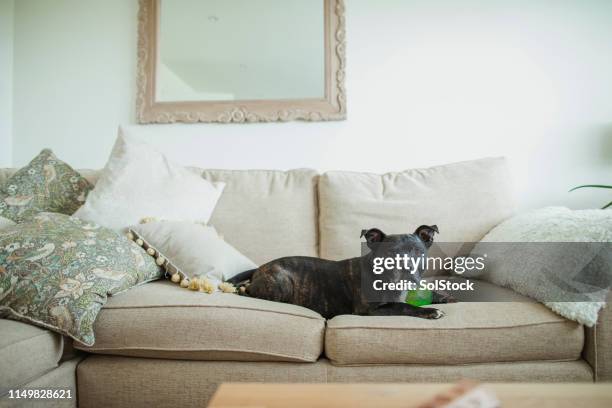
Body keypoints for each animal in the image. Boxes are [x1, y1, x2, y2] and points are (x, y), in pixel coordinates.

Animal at [227, 226, 452, 318]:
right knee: (251, 292)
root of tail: (260, 268)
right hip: (281, 282)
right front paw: (431, 311)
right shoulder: (371, 310)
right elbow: (402, 306)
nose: (407, 272)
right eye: (390, 254)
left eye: (418, 252)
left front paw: (445, 298)